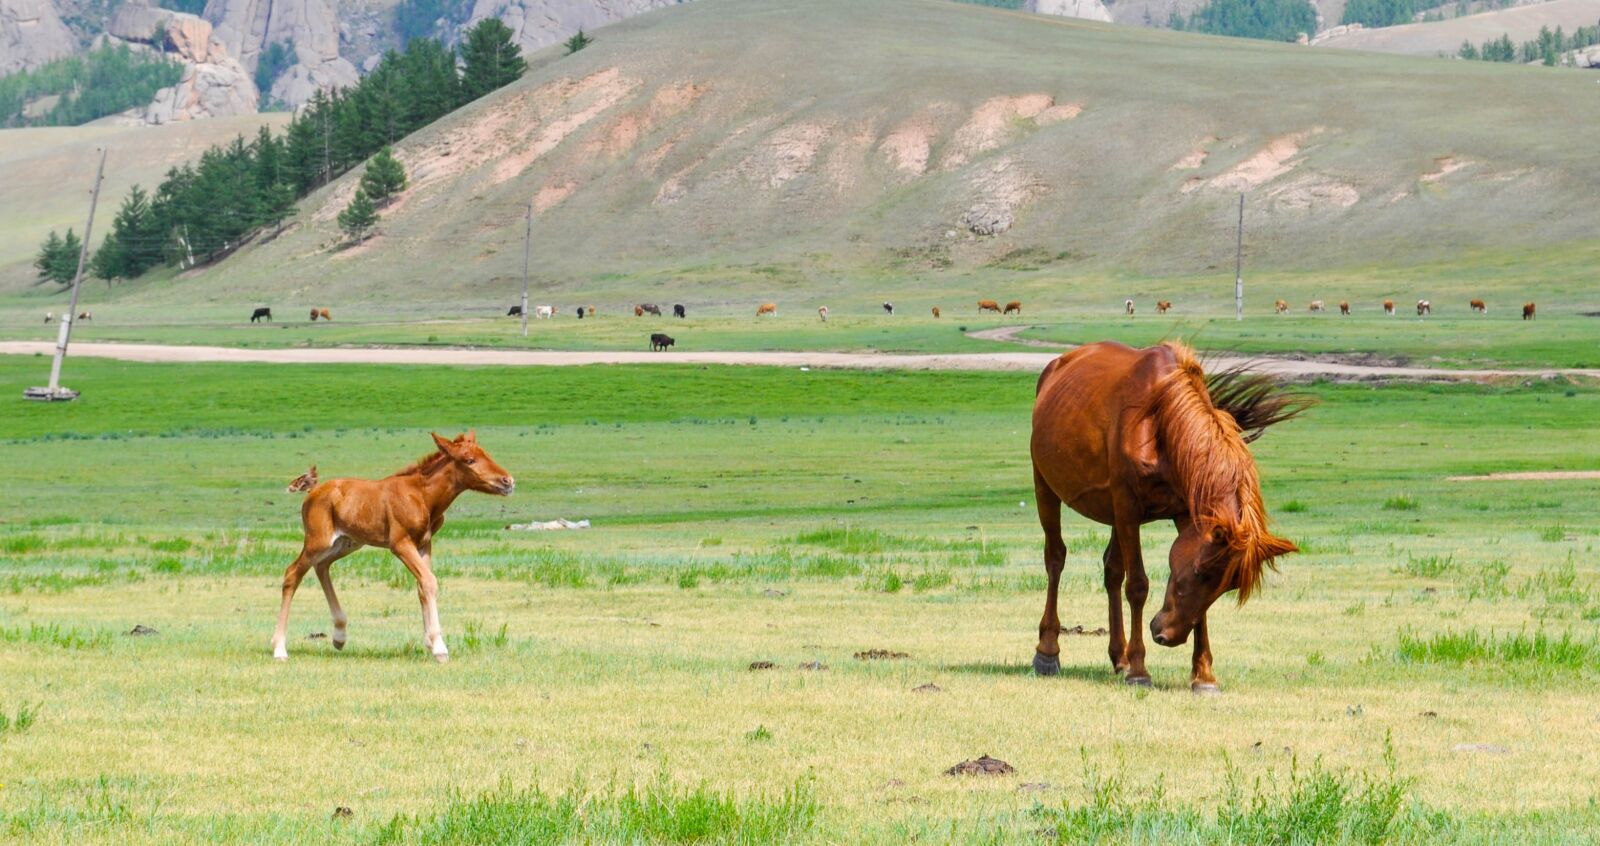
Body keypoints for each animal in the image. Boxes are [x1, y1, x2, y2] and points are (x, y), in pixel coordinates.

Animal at [270, 431, 514, 663]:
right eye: (469, 460)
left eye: (486, 454)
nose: (508, 481)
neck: (422, 496)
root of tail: (312, 491)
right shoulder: (400, 543)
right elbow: (429, 581)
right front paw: (439, 648)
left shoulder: (424, 543)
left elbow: (422, 586)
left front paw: (428, 643)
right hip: (318, 541)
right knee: (292, 573)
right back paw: (280, 648)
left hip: (346, 543)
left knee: (322, 567)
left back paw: (339, 636)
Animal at [1030, 341, 1305, 692]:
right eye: (1199, 572)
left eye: (1227, 585)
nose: (1167, 636)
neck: (1162, 422)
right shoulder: (1128, 509)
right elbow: (1137, 585)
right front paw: (1139, 670)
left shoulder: (1186, 513)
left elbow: (1197, 609)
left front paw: (1203, 675)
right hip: (1046, 488)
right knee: (1055, 559)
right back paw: (1048, 651)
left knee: (1111, 571)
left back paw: (1118, 656)